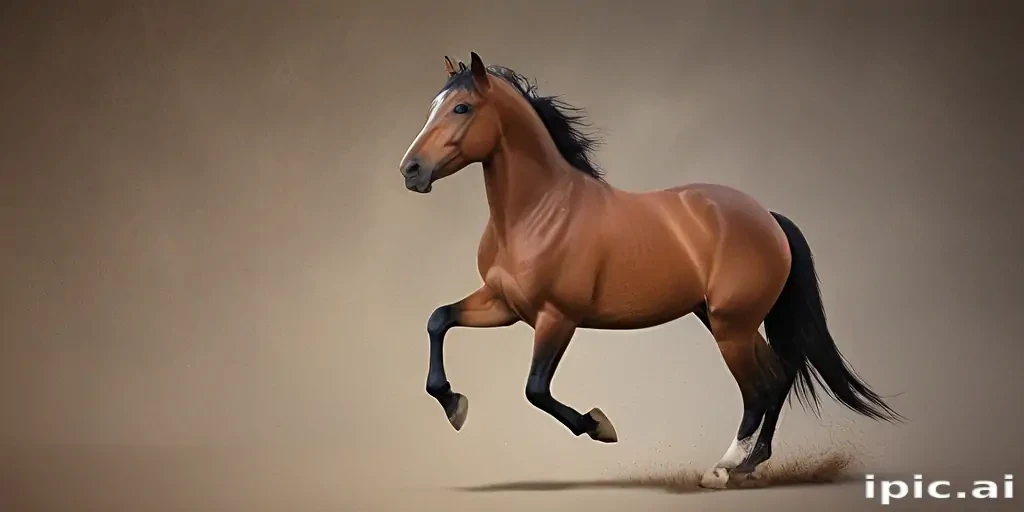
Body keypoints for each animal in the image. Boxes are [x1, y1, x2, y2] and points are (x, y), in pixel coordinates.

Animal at [397, 52, 902, 489]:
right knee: (777, 378)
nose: (410, 170)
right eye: (431, 108)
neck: (539, 212)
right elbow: (438, 319)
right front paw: (453, 404)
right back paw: (750, 465)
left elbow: (536, 389)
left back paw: (722, 470)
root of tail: (768, 218)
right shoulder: (503, 305)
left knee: (759, 389)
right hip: (724, 319)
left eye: (462, 107)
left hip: (731, 327)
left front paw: (600, 426)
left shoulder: (557, 317)